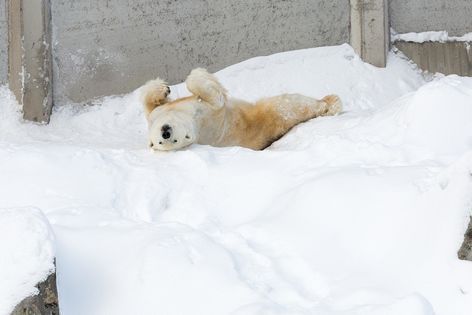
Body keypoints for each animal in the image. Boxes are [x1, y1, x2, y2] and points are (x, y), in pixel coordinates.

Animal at [140, 68, 342, 152]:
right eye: (162, 142)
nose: (166, 132)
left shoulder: (156, 115)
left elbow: (148, 101)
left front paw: (163, 89)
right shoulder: (208, 119)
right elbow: (215, 98)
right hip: (265, 116)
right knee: (289, 104)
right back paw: (331, 103)